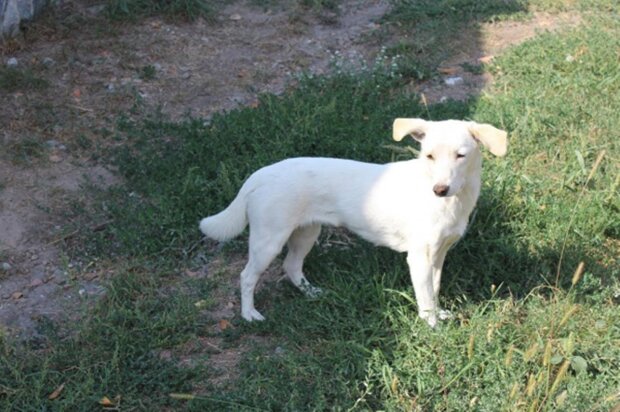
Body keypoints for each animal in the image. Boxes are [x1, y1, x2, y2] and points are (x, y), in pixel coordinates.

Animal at [201, 119, 506, 328]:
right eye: (429, 155)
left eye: (460, 155)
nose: (439, 189)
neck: (454, 201)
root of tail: (260, 175)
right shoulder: (419, 257)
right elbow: (426, 296)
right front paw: (432, 325)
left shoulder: (440, 253)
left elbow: (435, 287)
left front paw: (439, 314)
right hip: (269, 240)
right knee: (247, 276)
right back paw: (249, 314)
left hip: (307, 233)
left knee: (291, 266)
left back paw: (312, 293)